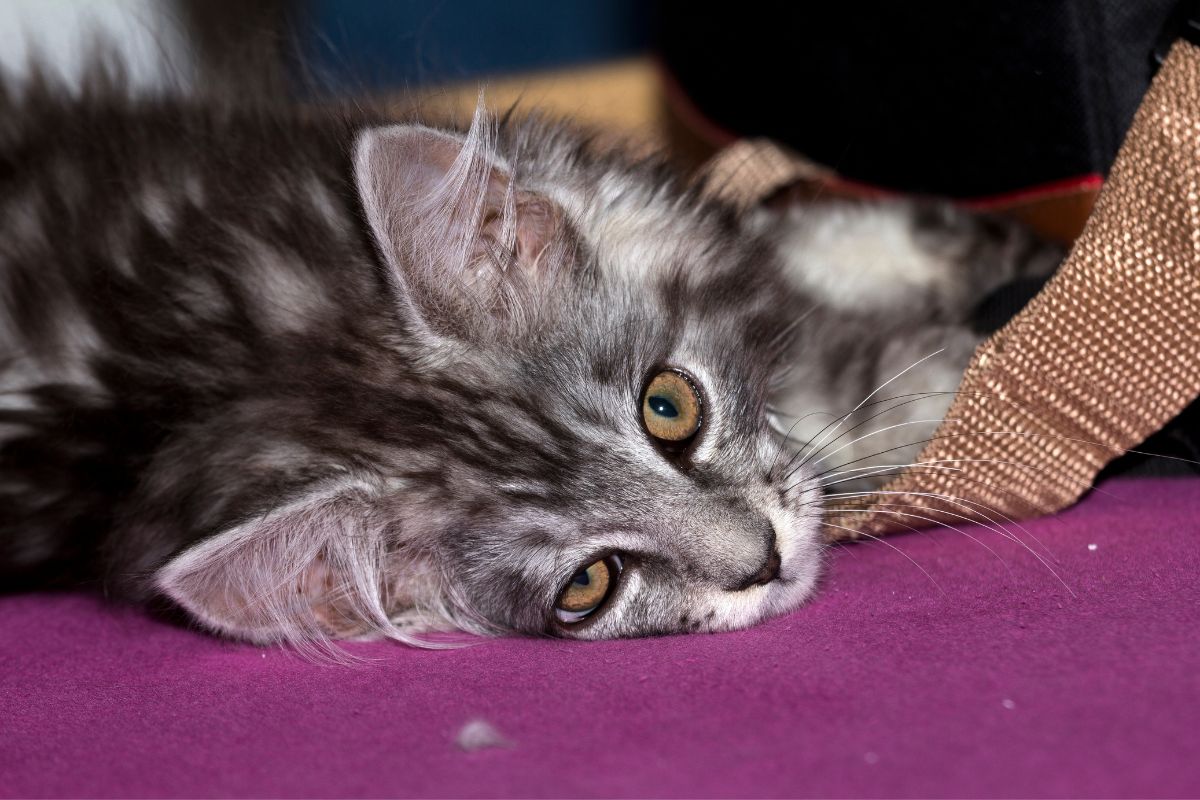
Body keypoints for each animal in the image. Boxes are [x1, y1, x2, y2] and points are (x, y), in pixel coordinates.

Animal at [2, 67, 1060, 642]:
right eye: (590, 583)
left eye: (668, 406)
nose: (764, 560)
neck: (200, 356)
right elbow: (888, 387)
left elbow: (806, 243)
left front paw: (1007, 255)